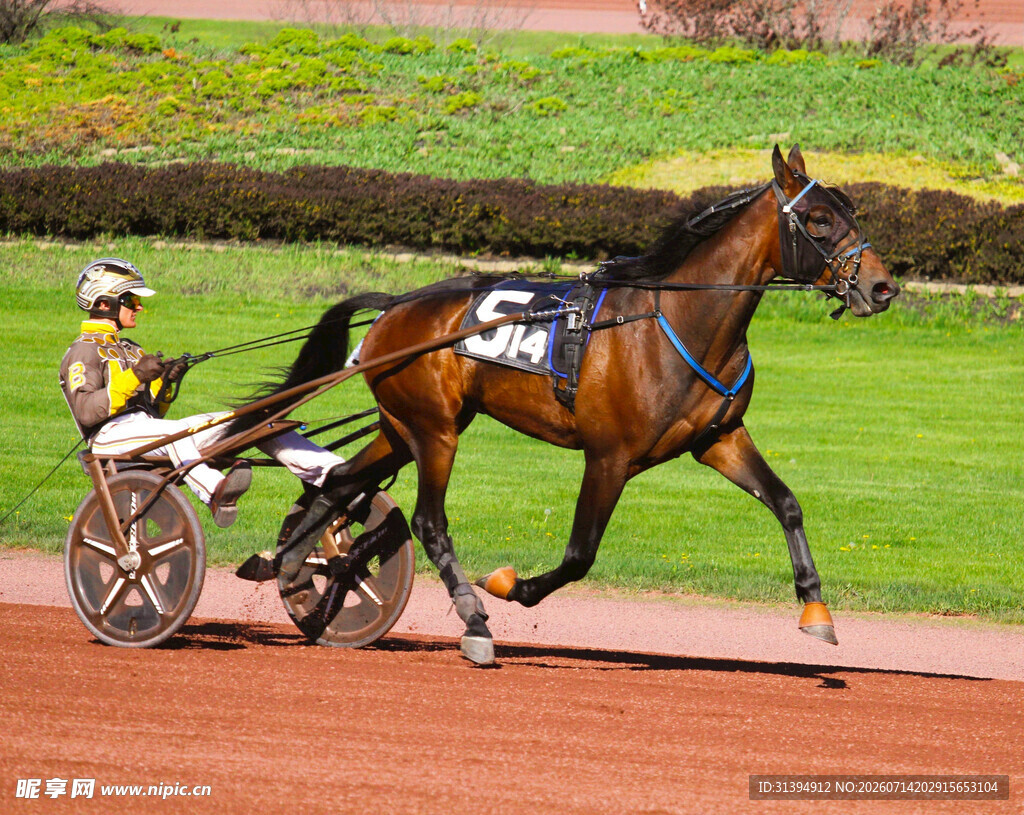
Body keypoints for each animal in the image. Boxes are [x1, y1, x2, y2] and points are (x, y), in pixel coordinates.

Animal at [243, 146, 899, 664]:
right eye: (818, 219)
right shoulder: (609, 456)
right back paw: (472, 618)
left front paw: (815, 609)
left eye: (853, 211)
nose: (882, 287)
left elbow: (787, 503)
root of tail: (396, 304)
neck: (674, 320)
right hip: (434, 432)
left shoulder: (718, 439)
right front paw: (510, 587)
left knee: (338, 483)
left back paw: (300, 566)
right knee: (428, 521)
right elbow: (581, 554)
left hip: (404, 427)